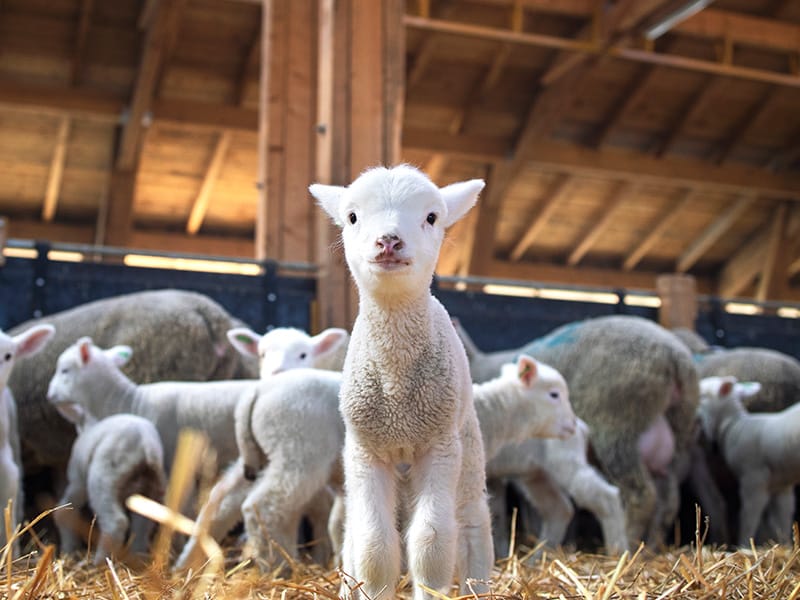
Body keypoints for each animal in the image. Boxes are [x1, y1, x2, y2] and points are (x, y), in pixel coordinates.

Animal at [50, 400, 166, 564]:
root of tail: (146, 444)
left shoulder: (77, 479)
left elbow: (64, 511)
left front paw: (68, 549)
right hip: (151, 487)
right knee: (143, 524)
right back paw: (137, 559)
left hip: (103, 477)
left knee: (116, 523)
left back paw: (98, 562)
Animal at [312, 165, 494, 600]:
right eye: (352, 217)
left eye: (431, 217)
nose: (389, 241)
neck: (396, 392)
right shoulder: (366, 452)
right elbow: (374, 544)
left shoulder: (439, 446)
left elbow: (431, 540)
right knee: (352, 534)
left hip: (466, 443)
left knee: (471, 520)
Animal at [696, 378, 800, 548]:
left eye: (702, 395)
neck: (733, 425)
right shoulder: (781, 486)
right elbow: (783, 517)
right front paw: (786, 546)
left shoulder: (753, 479)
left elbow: (748, 516)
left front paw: (743, 545)